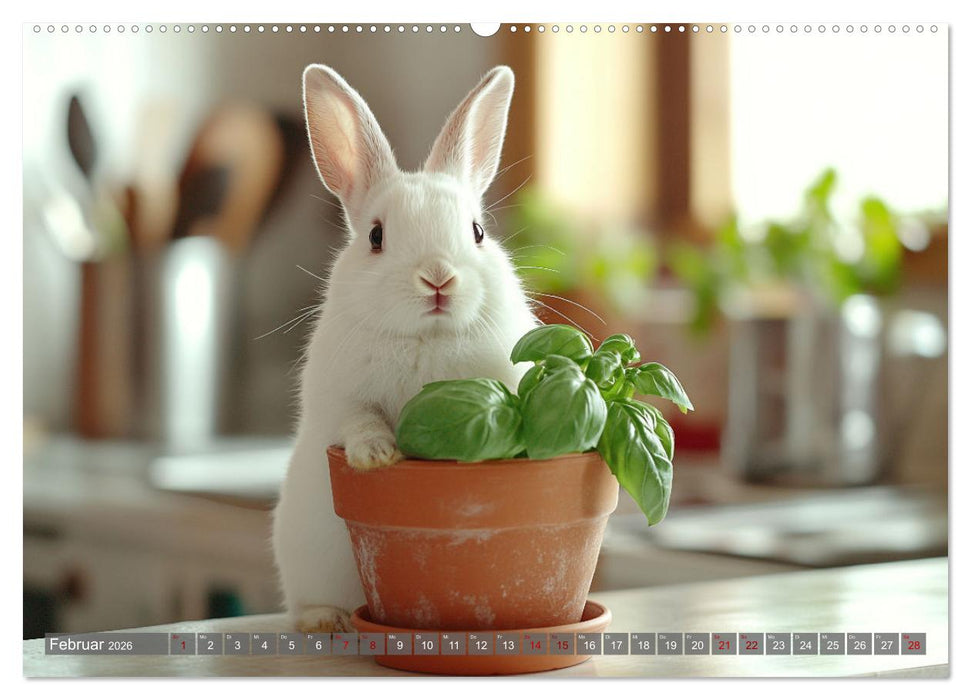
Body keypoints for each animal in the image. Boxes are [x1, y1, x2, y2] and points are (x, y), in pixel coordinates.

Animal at [271, 64, 538, 633]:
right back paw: (328, 621)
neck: (425, 340)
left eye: (477, 231)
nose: (438, 278)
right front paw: (377, 456)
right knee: (304, 605)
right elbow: (360, 421)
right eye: (376, 236)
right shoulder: (340, 399)